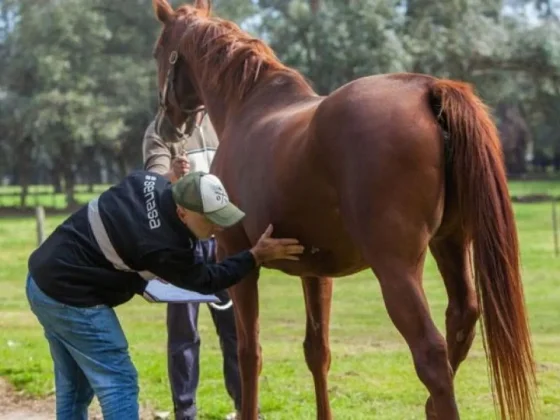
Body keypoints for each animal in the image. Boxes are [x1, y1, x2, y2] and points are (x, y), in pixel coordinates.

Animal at [151, 1, 536, 418]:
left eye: (158, 50)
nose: (167, 126)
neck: (250, 107)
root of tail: (427, 89)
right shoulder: (316, 272)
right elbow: (317, 352)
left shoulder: (237, 256)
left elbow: (249, 353)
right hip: (450, 243)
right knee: (460, 321)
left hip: (396, 268)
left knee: (431, 354)